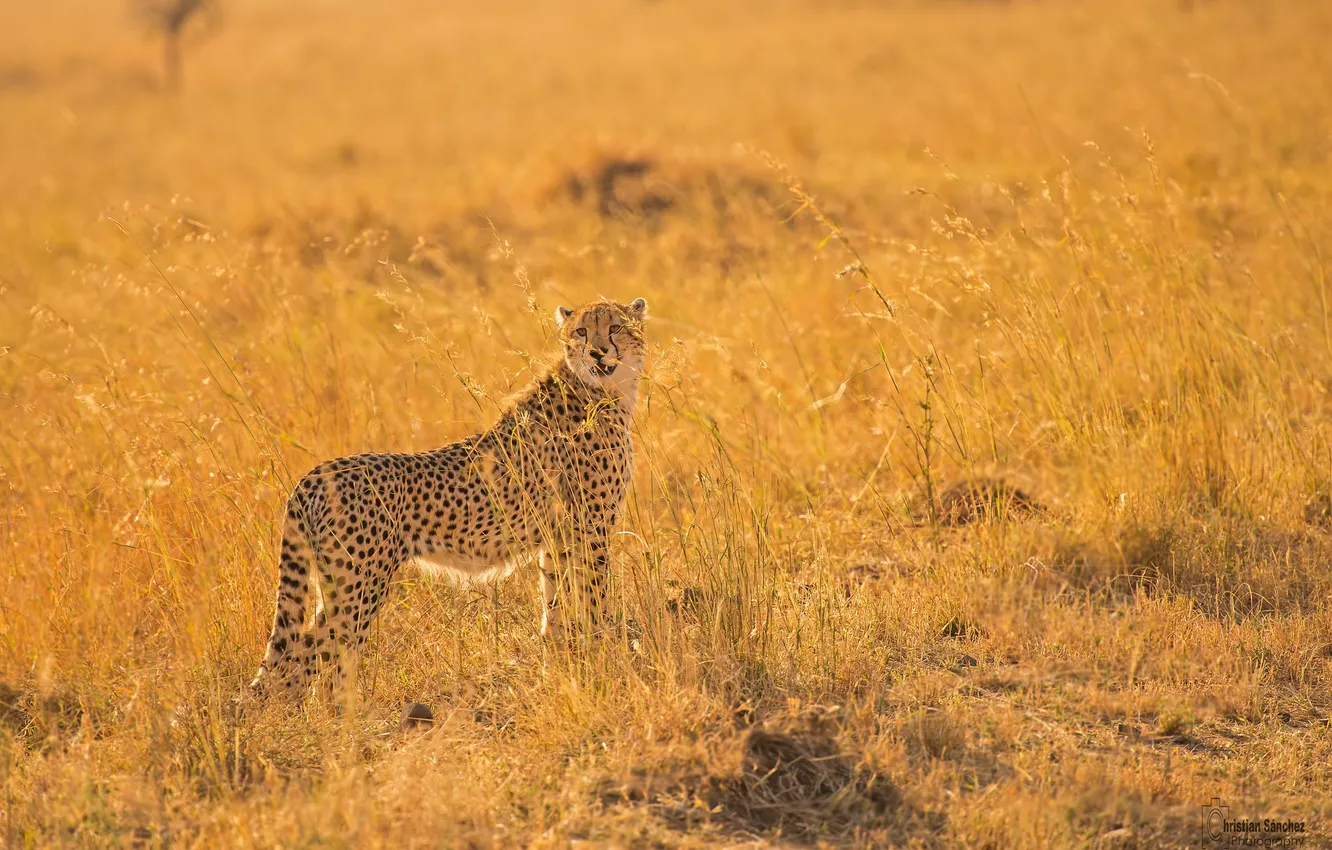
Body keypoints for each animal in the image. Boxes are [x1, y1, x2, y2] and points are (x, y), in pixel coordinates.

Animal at [249, 297, 649, 701]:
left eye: (615, 327)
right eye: (581, 331)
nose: (597, 352)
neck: (602, 388)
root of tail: (315, 474)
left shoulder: (558, 540)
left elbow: (555, 612)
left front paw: (559, 675)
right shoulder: (590, 530)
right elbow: (594, 603)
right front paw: (602, 666)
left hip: (340, 585)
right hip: (359, 589)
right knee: (298, 665)